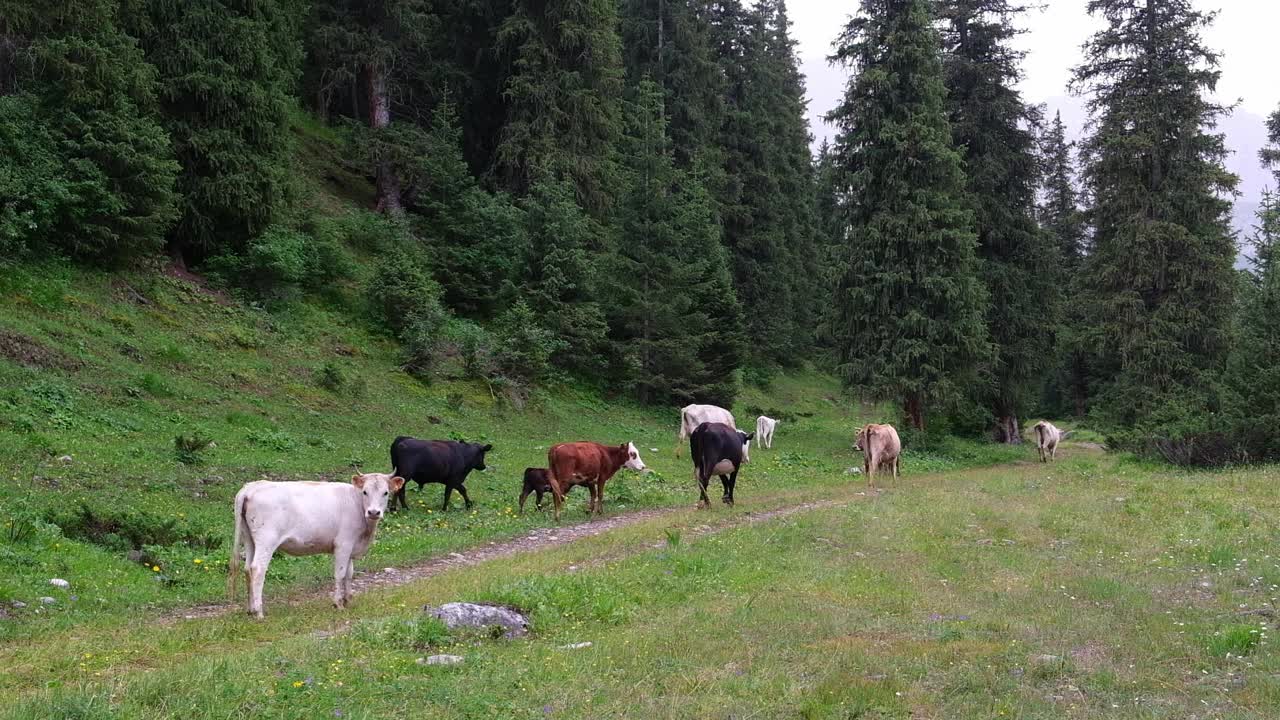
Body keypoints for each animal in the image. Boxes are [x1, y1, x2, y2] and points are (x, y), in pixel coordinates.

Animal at [227, 471, 401, 617]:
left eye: (385, 492)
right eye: (365, 491)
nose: (374, 512)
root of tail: (252, 487)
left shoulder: (351, 546)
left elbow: (349, 574)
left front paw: (348, 600)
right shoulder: (343, 544)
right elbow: (340, 573)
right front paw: (338, 603)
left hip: (249, 539)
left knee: (247, 568)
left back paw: (250, 610)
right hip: (266, 540)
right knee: (258, 569)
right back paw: (259, 612)